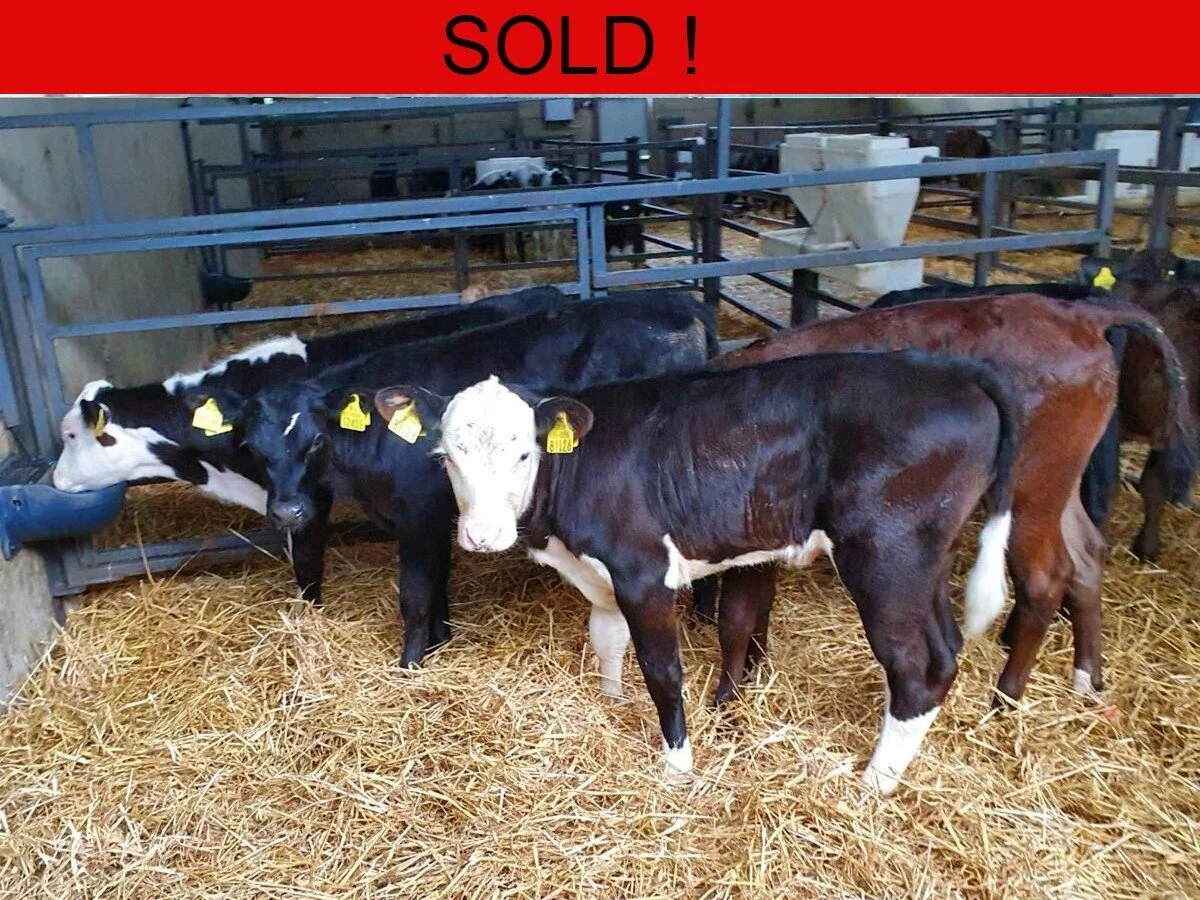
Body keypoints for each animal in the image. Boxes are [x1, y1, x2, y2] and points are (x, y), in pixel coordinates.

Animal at [214, 292, 718, 668]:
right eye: (252, 447)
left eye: (315, 440)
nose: (287, 511)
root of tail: (680, 301)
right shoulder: (439, 518)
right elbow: (438, 586)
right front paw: (440, 642)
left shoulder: (418, 518)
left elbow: (415, 595)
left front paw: (410, 664)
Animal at [388, 350, 1020, 793]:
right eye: (447, 456)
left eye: (525, 453)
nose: (482, 536)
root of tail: (954, 372)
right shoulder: (604, 574)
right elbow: (606, 639)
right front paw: (611, 704)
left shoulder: (643, 572)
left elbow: (662, 670)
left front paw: (678, 766)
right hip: (927, 559)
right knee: (946, 648)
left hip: (886, 555)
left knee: (916, 666)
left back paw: (873, 784)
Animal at [694, 293, 1192, 708]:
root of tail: (1078, 314)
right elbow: (758, 608)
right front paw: (754, 670)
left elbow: (736, 615)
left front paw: (725, 701)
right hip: (1058, 479)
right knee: (1087, 555)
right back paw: (1088, 680)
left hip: (1029, 489)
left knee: (1047, 578)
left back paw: (1004, 698)